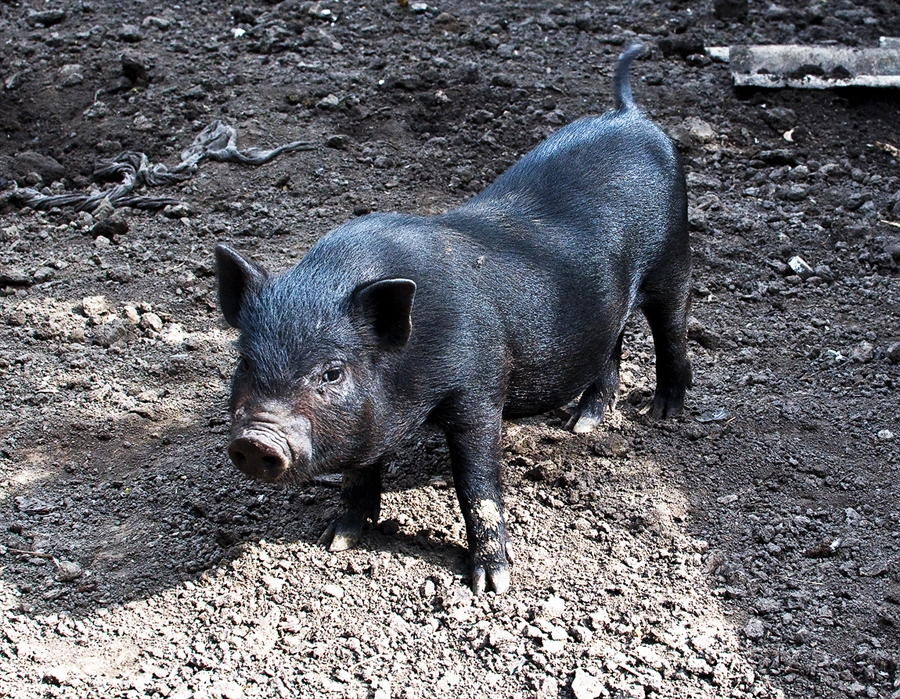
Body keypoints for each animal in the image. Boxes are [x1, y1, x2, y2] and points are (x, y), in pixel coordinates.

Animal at [216, 43, 688, 592]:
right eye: (245, 362)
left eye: (331, 373)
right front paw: (337, 540)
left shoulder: (480, 385)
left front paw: (490, 585)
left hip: (674, 258)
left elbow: (476, 484)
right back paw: (581, 425)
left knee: (670, 331)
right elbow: (359, 472)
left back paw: (662, 413)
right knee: (612, 342)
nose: (255, 439)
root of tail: (630, 114)